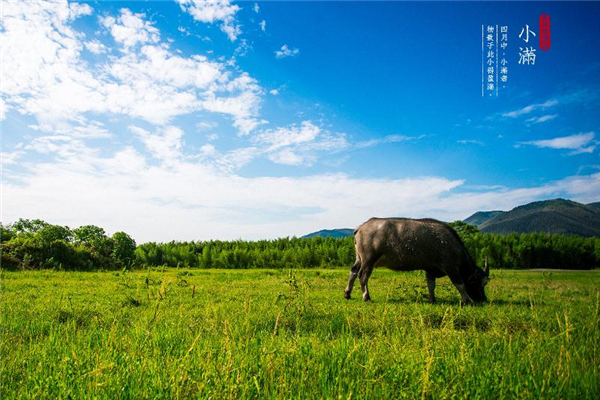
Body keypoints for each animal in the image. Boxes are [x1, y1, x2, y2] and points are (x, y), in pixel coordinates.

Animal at [344, 219, 490, 304]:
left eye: (485, 283)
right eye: (476, 282)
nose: (483, 299)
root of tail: (361, 227)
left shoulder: (430, 268)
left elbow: (431, 285)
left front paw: (432, 299)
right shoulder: (451, 267)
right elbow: (460, 284)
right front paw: (467, 300)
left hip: (359, 258)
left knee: (354, 271)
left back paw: (347, 293)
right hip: (369, 260)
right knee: (363, 276)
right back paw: (366, 296)